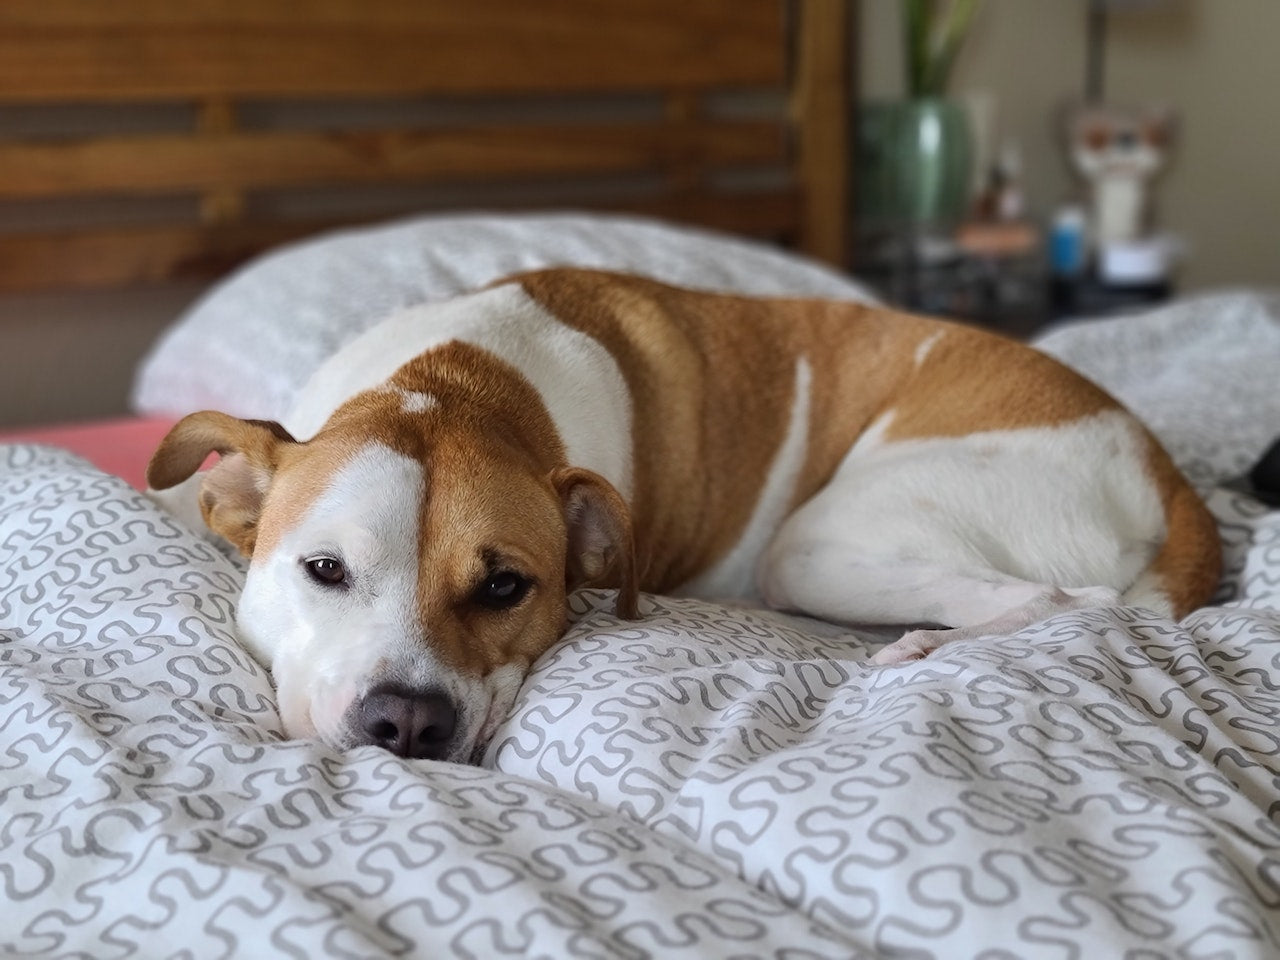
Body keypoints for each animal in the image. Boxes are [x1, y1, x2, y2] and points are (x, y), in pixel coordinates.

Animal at [147, 271, 1218, 768]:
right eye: (325, 570)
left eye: (505, 587)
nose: (406, 721)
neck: (461, 385)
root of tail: (1158, 463)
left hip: (817, 548)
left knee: (1071, 598)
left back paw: (919, 647)